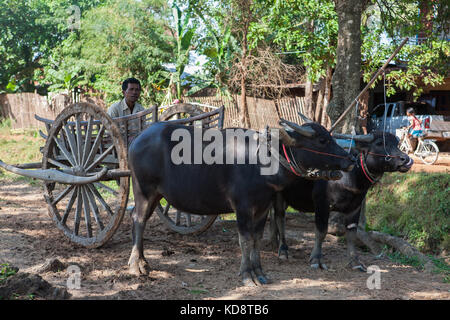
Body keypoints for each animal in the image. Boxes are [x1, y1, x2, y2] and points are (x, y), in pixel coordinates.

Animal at [125, 119, 356, 284]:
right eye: (322, 140)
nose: (351, 159)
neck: (262, 162)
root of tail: (136, 139)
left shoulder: (263, 208)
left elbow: (256, 239)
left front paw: (260, 273)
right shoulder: (242, 208)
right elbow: (244, 240)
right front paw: (247, 275)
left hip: (156, 195)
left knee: (139, 218)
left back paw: (143, 261)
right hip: (143, 190)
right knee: (138, 219)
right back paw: (135, 265)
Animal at [268, 131, 414, 272]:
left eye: (396, 143)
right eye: (379, 143)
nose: (406, 160)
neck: (350, 178)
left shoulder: (355, 208)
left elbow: (351, 234)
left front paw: (355, 262)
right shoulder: (322, 204)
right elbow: (321, 231)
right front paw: (316, 259)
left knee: (274, 218)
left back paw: (274, 243)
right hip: (279, 195)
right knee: (280, 218)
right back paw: (283, 250)